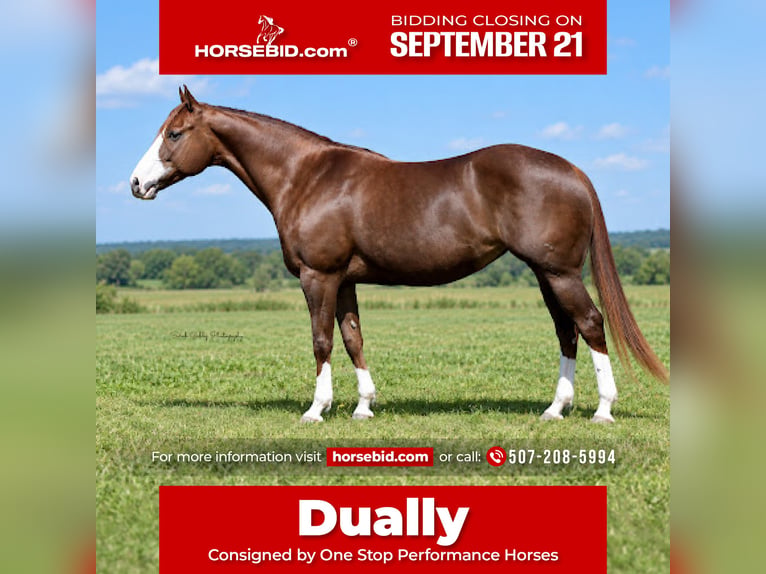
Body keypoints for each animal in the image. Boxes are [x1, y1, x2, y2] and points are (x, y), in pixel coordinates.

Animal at [130, 86, 668, 424]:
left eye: (174, 134)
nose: (136, 183)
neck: (306, 177)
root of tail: (573, 170)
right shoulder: (344, 280)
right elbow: (353, 338)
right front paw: (363, 406)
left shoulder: (318, 276)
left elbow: (322, 341)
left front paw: (316, 410)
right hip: (546, 273)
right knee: (566, 331)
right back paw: (556, 409)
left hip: (559, 273)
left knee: (591, 324)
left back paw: (602, 410)